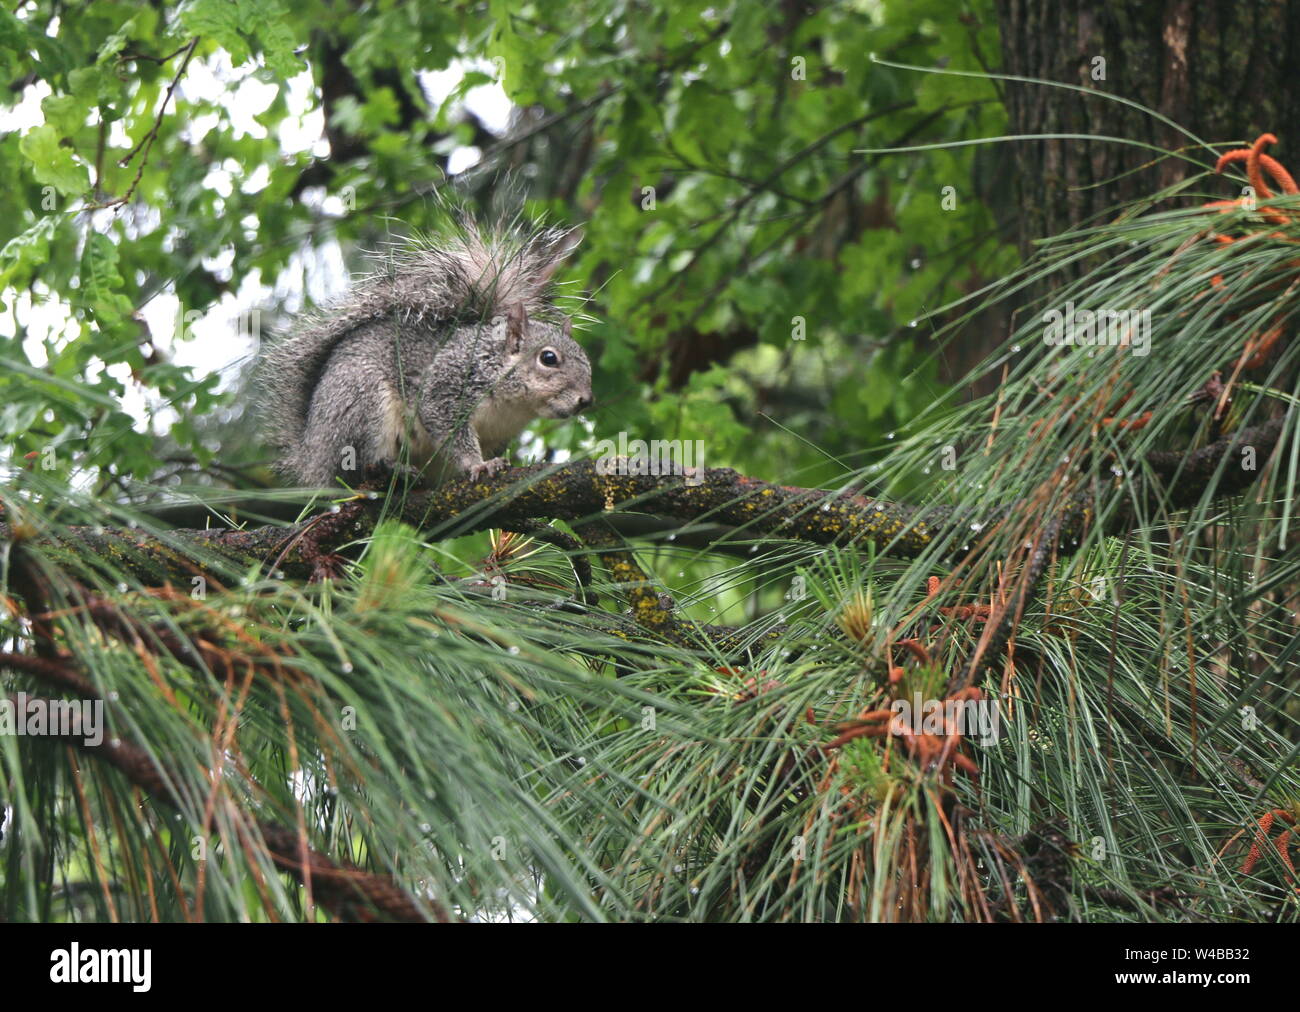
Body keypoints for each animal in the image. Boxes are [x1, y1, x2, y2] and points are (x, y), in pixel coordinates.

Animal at [258, 218, 593, 488]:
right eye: (548, 358)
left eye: (587, 362)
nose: (586, 400)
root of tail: (313, 456)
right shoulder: (446, 386)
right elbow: (450, 431)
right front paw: (479, 465)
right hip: (362, 404)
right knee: (359, 463)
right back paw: (389, 468)